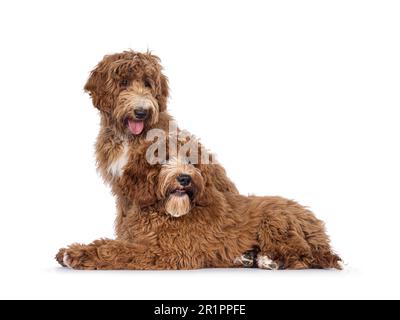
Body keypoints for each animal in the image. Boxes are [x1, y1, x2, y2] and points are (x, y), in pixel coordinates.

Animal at [56, 155, 342, 270]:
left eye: (192, 160)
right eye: (162, 157)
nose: (185, 178)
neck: (163, 212)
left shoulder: (168, 253)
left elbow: (118, 250)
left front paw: (76, 254)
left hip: (276, 220)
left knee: (305, 256)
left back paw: (267, 260)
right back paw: (249, 258)